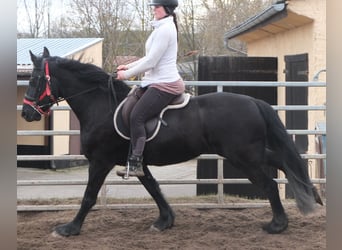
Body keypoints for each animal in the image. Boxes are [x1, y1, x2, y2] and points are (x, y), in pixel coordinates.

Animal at [22, 48, 324, 236]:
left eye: (35, 79)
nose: (26, 113)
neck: (101, 107)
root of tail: (254, 101)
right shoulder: (136, 161)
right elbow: (154, 188)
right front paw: (165, 221)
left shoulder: (100, 161)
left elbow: (88, 197)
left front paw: (69, 229)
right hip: (248, 153)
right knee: (284, 161)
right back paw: (311, 195)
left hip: (244, 157)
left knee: (270, 182)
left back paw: (278, 224)